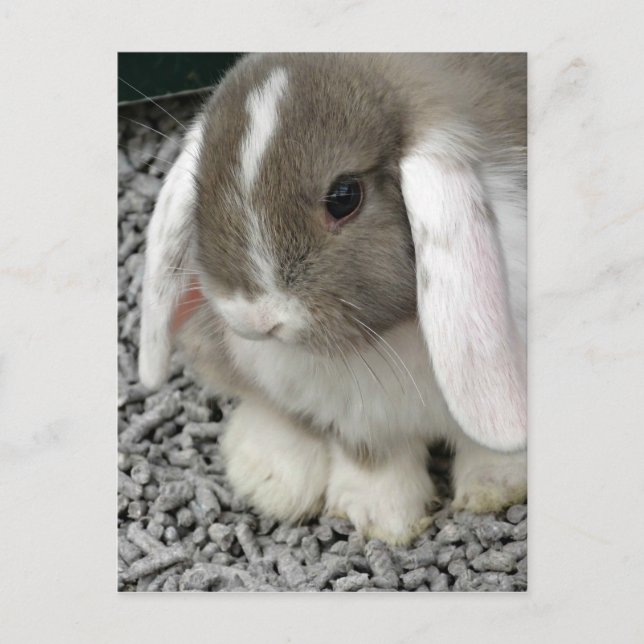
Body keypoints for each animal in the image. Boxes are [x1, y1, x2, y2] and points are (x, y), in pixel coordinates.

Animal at [139, 53, 527, 545]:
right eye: (200, 188)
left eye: (344, 196)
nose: (256, 319)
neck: (385, 337)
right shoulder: (358, 420)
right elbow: (371, 456)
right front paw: (383, 519)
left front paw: (499, 486)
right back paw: (270, 480)